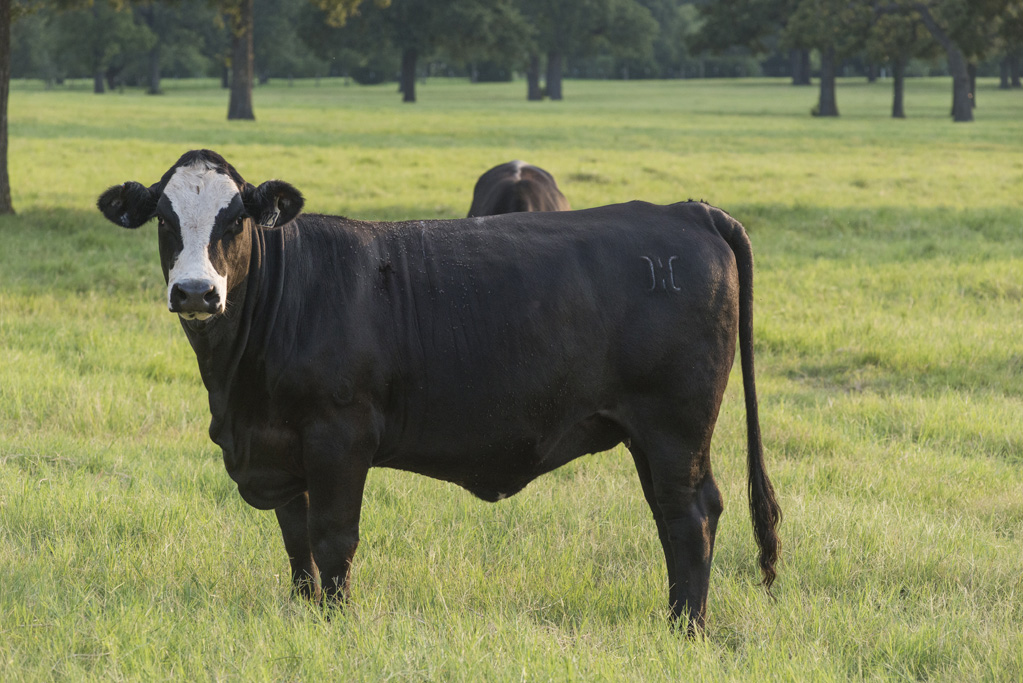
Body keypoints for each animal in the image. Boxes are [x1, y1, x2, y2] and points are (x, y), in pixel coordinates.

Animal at [97, 149, 780, 635]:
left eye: (234, 218)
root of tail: (686, 209)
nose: (196, 292)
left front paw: (335, 624)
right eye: (164, 219)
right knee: (676, 517)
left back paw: (685, 630)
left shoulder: (339, 436)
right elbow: (297, 544)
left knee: (689, 516)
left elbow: (333, 537)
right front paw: (304, 612)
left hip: (674, 428)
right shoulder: (280, 451)